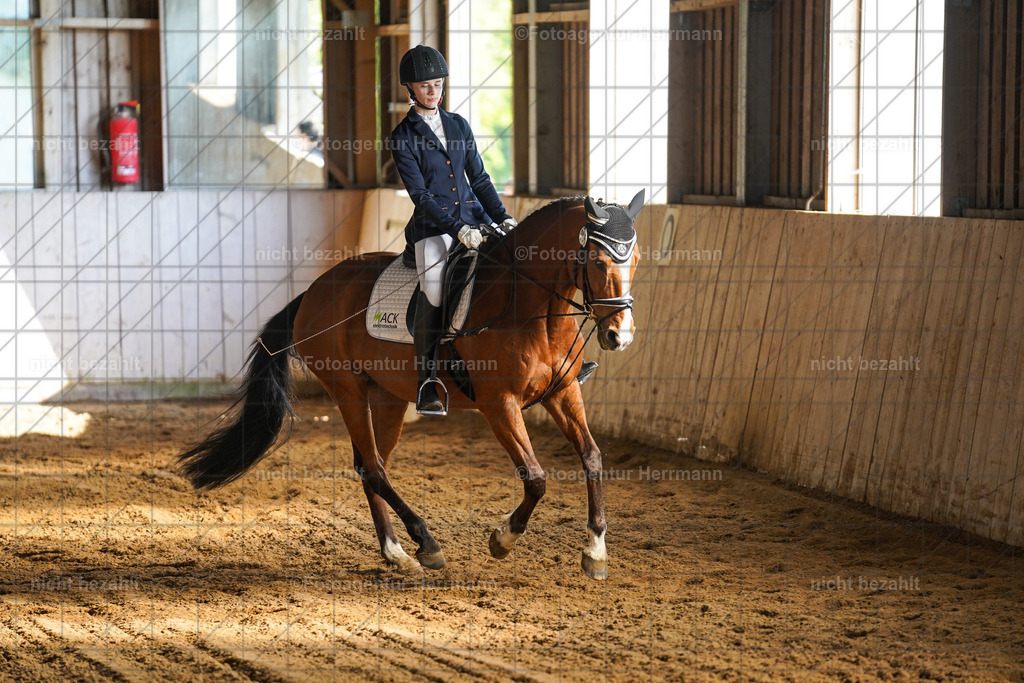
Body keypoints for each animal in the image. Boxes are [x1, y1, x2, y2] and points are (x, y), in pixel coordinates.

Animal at [176, 191, 644, 580]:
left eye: (635, 260)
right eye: (598, 262)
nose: (620, 337)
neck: (529, 307)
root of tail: (311, 292)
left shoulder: (564, 393)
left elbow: (593, 458)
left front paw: (595, 551)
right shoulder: (500, 405)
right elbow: (536, 478)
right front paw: (502, 539)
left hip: (389, 396)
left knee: (371, 467)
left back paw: (396, 552)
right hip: (347, 391)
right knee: (374, 468)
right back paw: (425, 544)